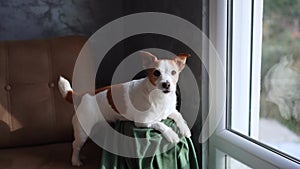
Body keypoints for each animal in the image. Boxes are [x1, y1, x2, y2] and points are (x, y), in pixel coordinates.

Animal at [57, 50, 191, 166]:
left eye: (173, 72)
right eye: (156, 73)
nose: (166, 84)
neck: (160, 97)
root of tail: (82, 95)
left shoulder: (171, 111)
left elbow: (179, 116)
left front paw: (185, 129)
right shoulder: (142, 122)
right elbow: (160, 124)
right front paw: (171, 134)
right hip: (82, 131)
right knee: (75, 145)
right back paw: (75, 160)